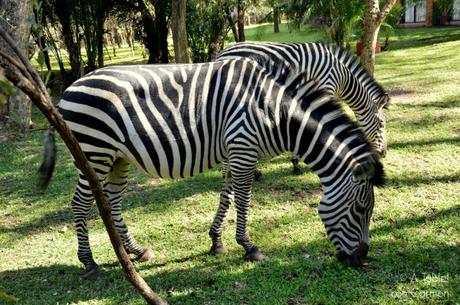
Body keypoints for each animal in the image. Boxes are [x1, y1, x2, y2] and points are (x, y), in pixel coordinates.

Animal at [40, 57, 384, 278]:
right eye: (360, 210)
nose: (361, 260)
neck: (274, 112)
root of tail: (69, 89)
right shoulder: (243, 147)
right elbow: (243, 199)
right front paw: (249, 246)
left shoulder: (237, 151)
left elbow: (227, 196)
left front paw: (216, 241)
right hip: (93, 152)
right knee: (79, 204)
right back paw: (89, 262)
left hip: (117, 158)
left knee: (111, 202)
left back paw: (136, 252)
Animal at [217, 41, 390, 177]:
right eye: (381, 124)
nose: (384, 153)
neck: (342, 75)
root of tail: (221, 53)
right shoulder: (326, 86)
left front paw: (295, 163)